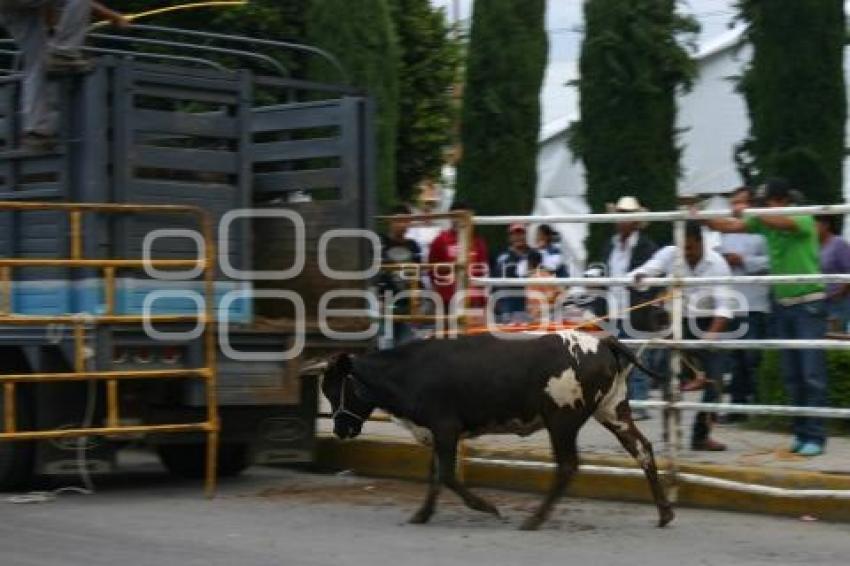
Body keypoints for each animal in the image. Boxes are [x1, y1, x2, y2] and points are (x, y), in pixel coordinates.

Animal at [314, 330, 672, 532]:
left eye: (333, 388)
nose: (340, 428)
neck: (411, 370)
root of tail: (601, 342)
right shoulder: (437, 434)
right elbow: (435, 474)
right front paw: (423, 514)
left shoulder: (445, 428)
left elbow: (446, 474)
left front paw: (486, 507)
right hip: (612, 410)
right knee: (642, 449)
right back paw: (665, 513)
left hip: (563, 421)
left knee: (568, 465)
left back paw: (534, 519)